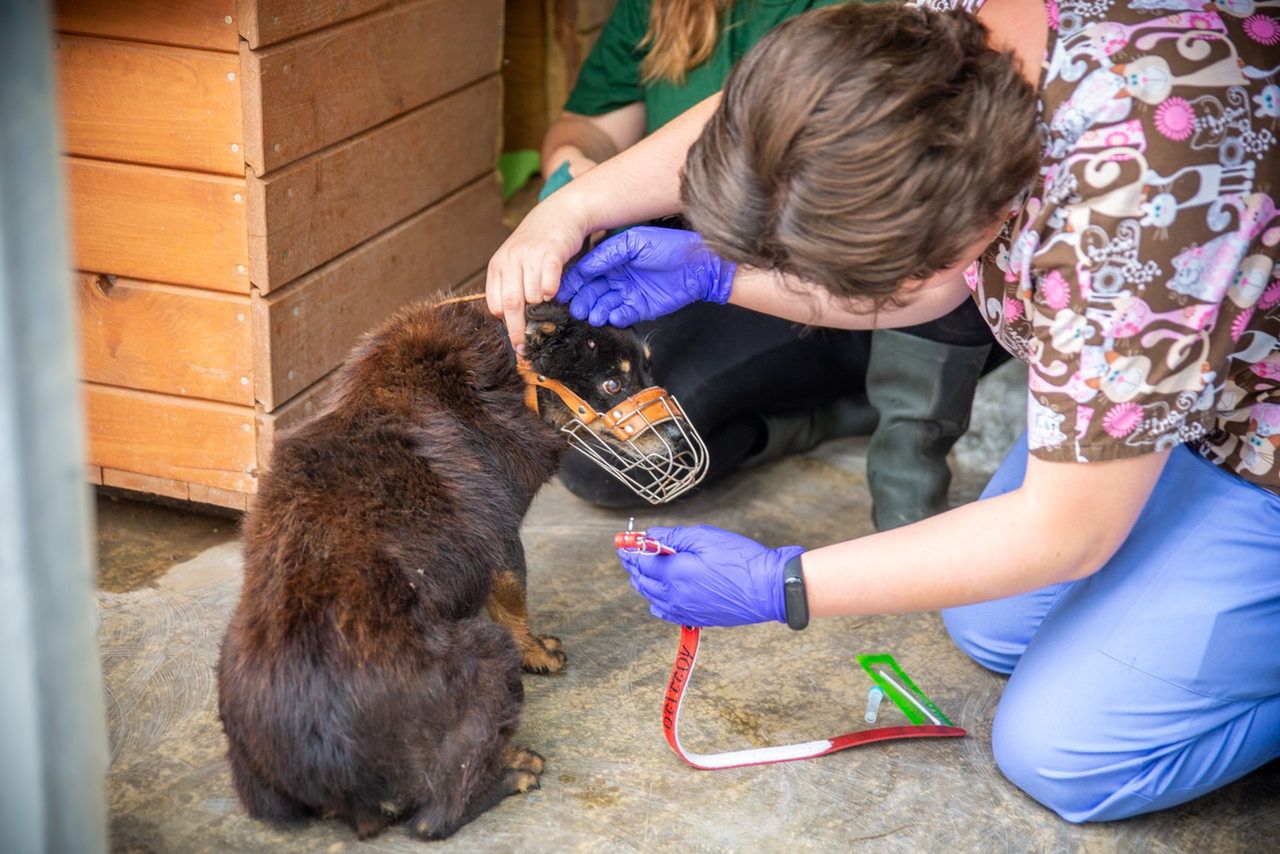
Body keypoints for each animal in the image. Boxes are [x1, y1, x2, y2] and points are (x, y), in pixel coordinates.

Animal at [217, 297, 670, 839]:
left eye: (649, 366)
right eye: (611, 386)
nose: (673, 437)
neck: (506, 374)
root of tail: (326, 759)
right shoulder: (502, 542)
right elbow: (513, 609)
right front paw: (538, 652)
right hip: (485, 659)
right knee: (435, 816)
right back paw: (514, 771)